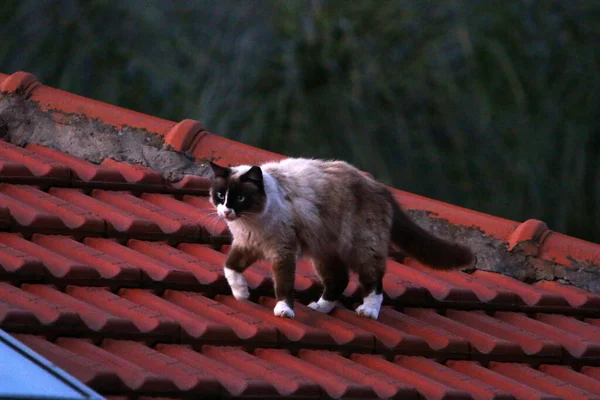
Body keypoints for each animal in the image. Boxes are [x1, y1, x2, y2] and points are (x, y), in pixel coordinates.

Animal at [210, 158, 474, 320]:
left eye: (240, 199)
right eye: (221, 196)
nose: (226, 211)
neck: (251, 223)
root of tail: (379, 186)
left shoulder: (282, 252)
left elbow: (283, 286)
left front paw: (284, 310)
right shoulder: (247, 245)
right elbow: (229, 268)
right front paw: (242, 294)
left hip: (362, 249)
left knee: (373, 282)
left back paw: (367, 311)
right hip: (324, 252)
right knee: (339, 280)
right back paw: (320, 308)